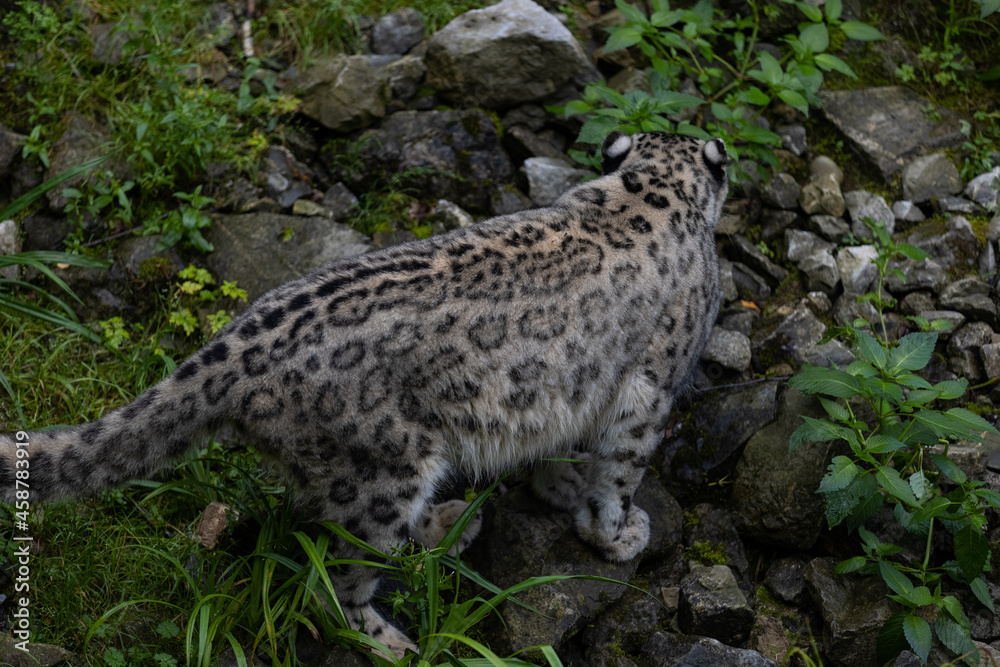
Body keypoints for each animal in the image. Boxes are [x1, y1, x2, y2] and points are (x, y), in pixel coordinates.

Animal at [0, 130, 728, 659]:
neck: (651, 191)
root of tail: (226, 349)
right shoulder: (652, 390)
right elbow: (620, 472)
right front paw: (619, 534)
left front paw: (560, 488)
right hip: (383, 470)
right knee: (335, 582)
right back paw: (395, 639)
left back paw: (450, 523)